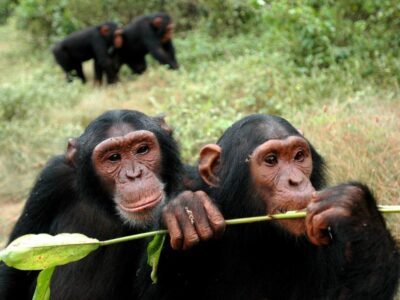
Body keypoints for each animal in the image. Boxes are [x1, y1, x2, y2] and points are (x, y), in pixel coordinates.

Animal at [0, 110, 225, 300]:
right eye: (114, 157)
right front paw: (181, 213)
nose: (134, 175)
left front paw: (186, 211)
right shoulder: (51, 180)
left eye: (142, 149)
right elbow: (14, 272)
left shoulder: (195, 183)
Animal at [138, 113, 400, 300]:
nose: (296, 181)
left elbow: (343, 294)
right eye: (271, 160)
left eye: (299, 156)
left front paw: (357, 211)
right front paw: (186, 212)